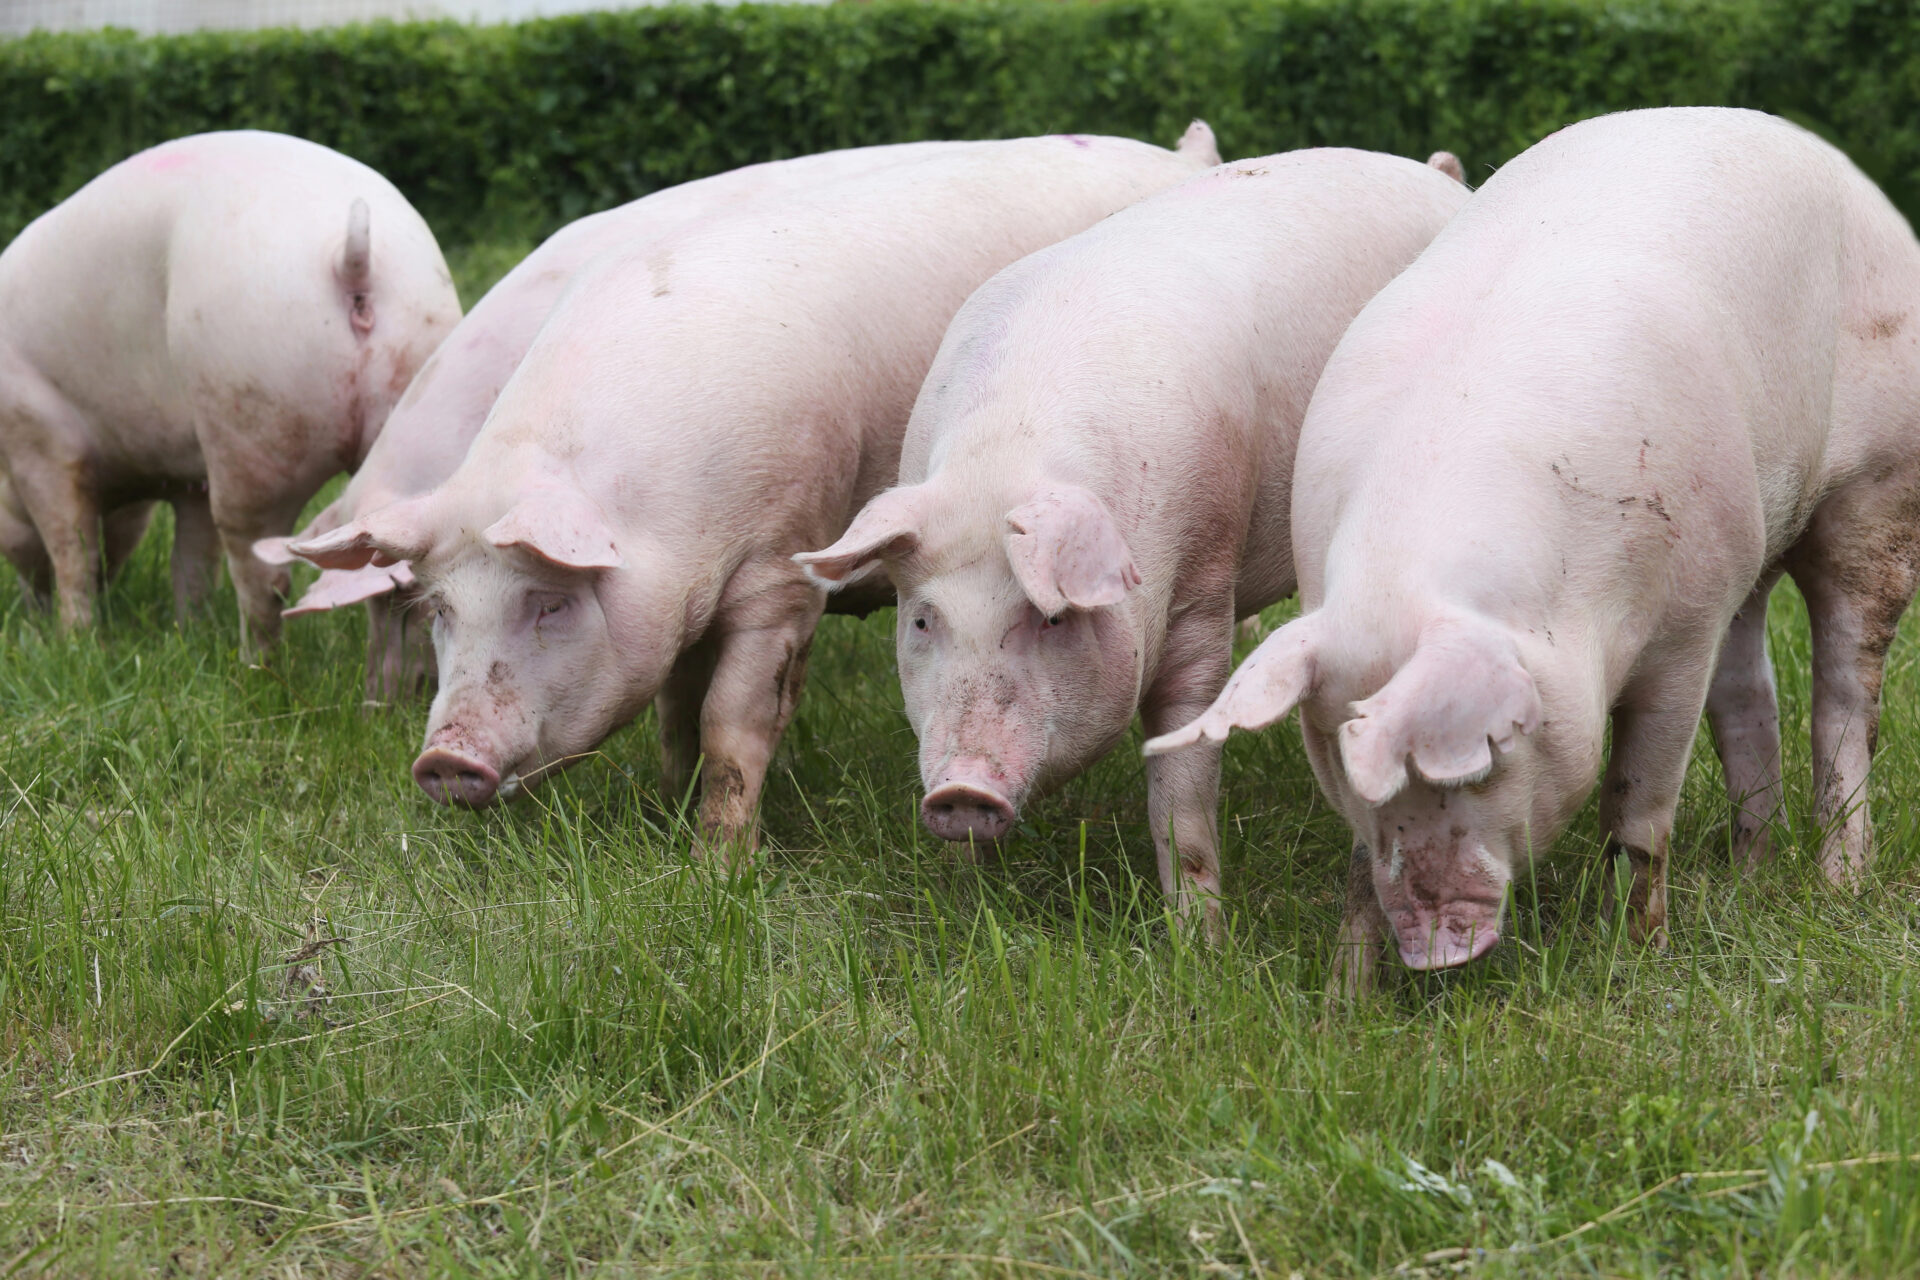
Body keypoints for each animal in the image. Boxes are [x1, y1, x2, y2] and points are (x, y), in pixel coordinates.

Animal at [0, 130, 460, 651]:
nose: (30, 614)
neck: (132, 478)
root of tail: (351, 258)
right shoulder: (189, 475)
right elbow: (191, 558)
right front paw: (189, 632)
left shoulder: (38, 434)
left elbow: (71, 545)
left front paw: (73, 641)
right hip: (415, 368)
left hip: (250, 416)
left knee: (261, 568)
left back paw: (253, 660)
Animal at [795, 148, 1469, 928]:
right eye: (924, 621)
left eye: (1052, 618)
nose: (961, 791)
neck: (1005, 458)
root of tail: (1437, 174)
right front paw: (965, 905)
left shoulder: (1205, 581)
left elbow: (1181, 787)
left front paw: (1200, 936)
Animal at [1146, 107, 1920, 990]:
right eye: (1339, 765)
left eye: (1483, 758)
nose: (1435, 946)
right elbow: (1359, 866)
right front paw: (1347, 994)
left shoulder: (1682, 630)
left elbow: (1639, 803)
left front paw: (1638, 957)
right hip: (1751, 535)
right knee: (1750, 692)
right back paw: (1751, 874)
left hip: (1878, 486)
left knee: (1845, 693)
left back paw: (1839, 883)